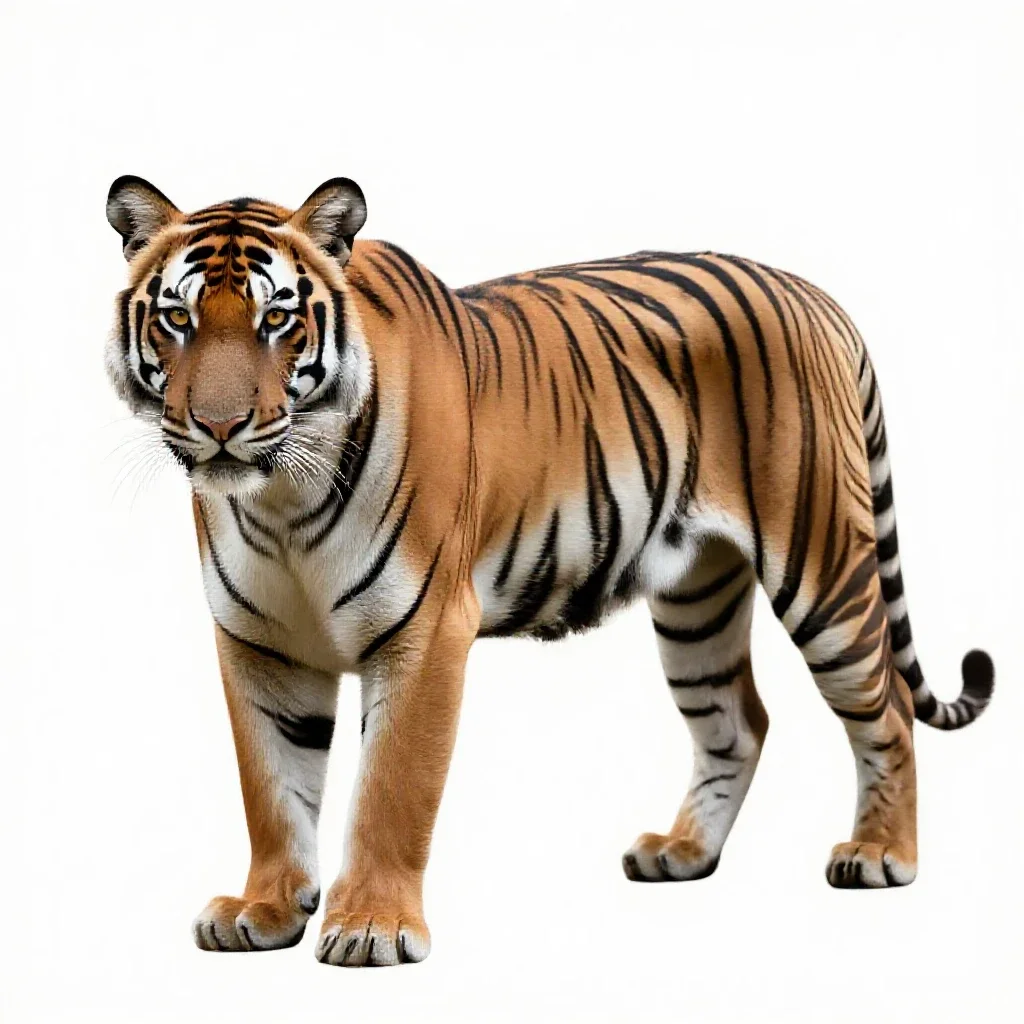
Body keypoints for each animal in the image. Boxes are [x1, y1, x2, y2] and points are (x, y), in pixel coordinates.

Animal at [105, 174, 995, 967]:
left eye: (278, 320)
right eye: (178, 318)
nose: (219, 427)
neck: (281, 499)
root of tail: (815, 295)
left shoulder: (424, 633)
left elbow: (392, 788)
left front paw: (373, 928)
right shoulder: (259, 644)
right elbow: (272, 789)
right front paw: (263, 911)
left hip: (824, 570)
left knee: (886, 709)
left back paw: (880, 855)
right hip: (697, 599)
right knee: (739, 721)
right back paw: (683, 852)